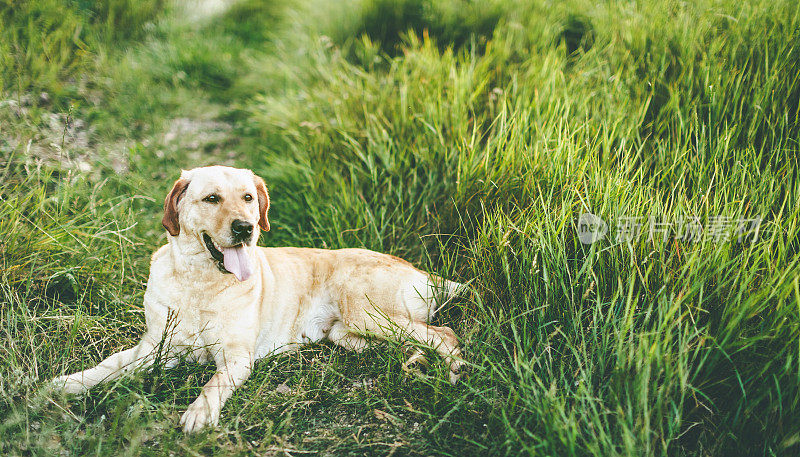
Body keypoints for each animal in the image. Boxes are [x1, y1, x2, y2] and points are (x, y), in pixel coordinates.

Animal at [53, 166, 466, 432]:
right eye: (211, 199)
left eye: (249, 198)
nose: (245, 228)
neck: (199, 282)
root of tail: (425, 273)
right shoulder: (154, 349)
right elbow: (108, 365)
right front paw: (68, 384)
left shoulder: (235, 358)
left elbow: (213, 384)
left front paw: (200, 413)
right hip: (349, 332)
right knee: (409, 340)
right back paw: (414, 362)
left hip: (366, 312)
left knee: (444, 334)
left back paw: (453, 371)